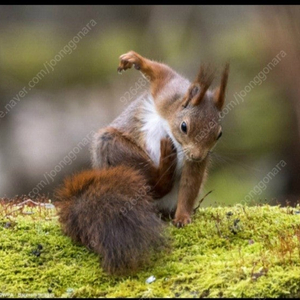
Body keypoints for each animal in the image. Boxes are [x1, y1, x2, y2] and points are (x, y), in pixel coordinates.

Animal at [55, 50, 230, 276]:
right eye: (184, 126)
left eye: (219, 134)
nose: (198, 156)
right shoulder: (166, 92)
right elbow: (160, 71)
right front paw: (133, 60)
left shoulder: (194, 161)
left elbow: (190, 184)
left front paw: (183, 217)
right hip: (112, 146)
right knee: (153, 183)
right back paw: (164, 166)